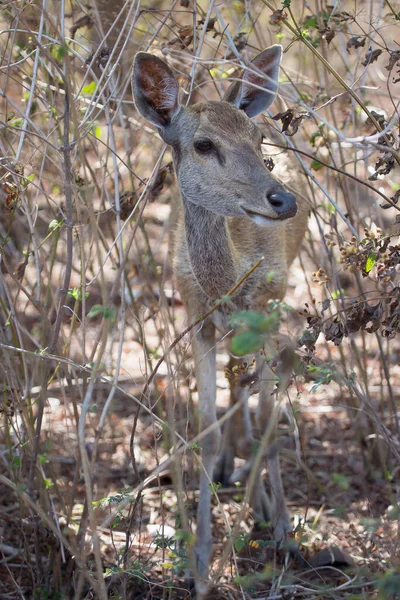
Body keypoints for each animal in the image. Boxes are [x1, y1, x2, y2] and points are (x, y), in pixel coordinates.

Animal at [133, 45, 308, 596]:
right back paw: (236, 471)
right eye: (204, 144)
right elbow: (205, 431)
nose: (284, 199)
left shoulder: (270, 307)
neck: (229, 283)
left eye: (256, 139)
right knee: (235, 381)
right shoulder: (197, 317)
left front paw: (284, 531)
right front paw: (200, 566)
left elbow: (271, 424)